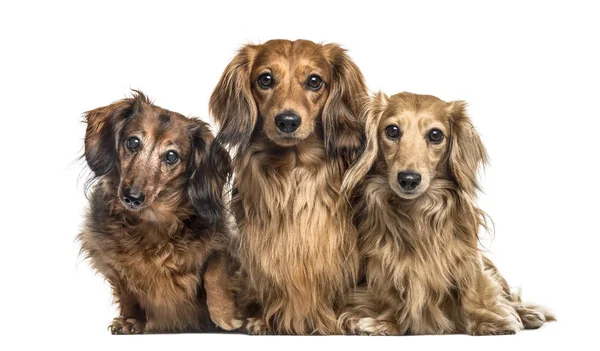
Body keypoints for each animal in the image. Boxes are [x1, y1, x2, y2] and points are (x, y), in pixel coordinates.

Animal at [78, 92, 241, 334]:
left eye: (171, 156)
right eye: (133, 142)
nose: (132, 197)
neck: (152, 221)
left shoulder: (223, 243)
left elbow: (214, 274)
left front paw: (225, 316)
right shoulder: (111, 261)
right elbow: (128, 290)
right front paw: (132, 320)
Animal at [338, 93, 552, 336]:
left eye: (435, 134)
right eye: (392, 130)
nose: (408, 179)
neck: (417, 213)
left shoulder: (466, 255)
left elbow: (474, 287)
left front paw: (488, 320)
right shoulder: (382, 259)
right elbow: (388, 292)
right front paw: (384, 322)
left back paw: (528, 314)